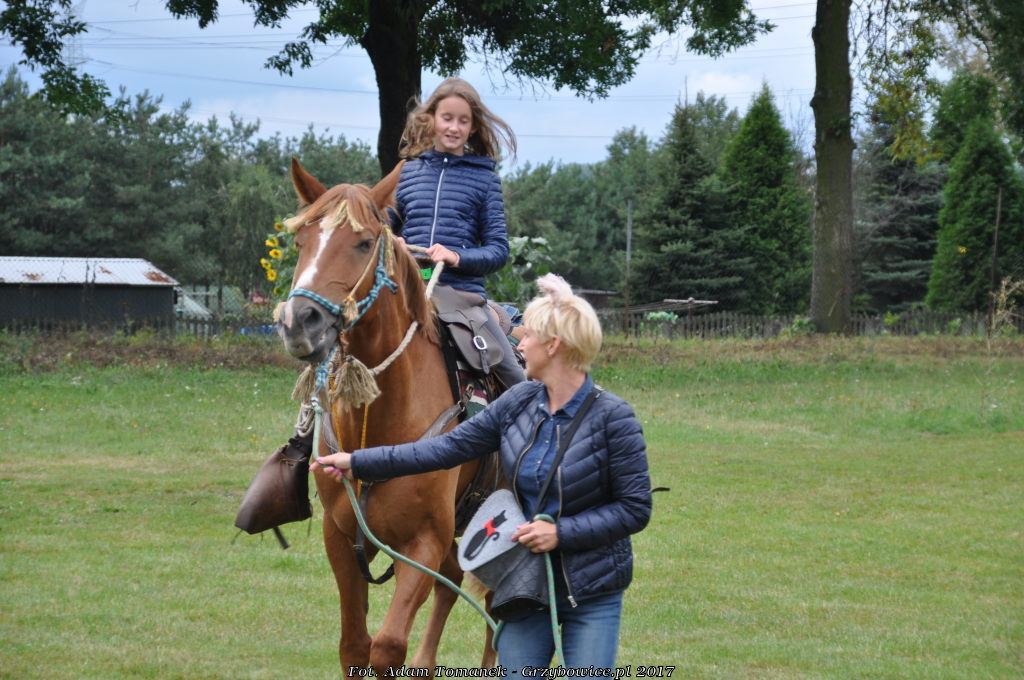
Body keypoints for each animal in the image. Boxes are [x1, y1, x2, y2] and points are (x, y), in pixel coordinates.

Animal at [276, 158, 495, 675]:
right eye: (301, 241)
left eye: (361, 242)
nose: (299, 322)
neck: (376, 431)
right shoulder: (342, 538)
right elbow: (355, 646)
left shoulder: (424, 542)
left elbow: (388, 645)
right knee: (453, 586)